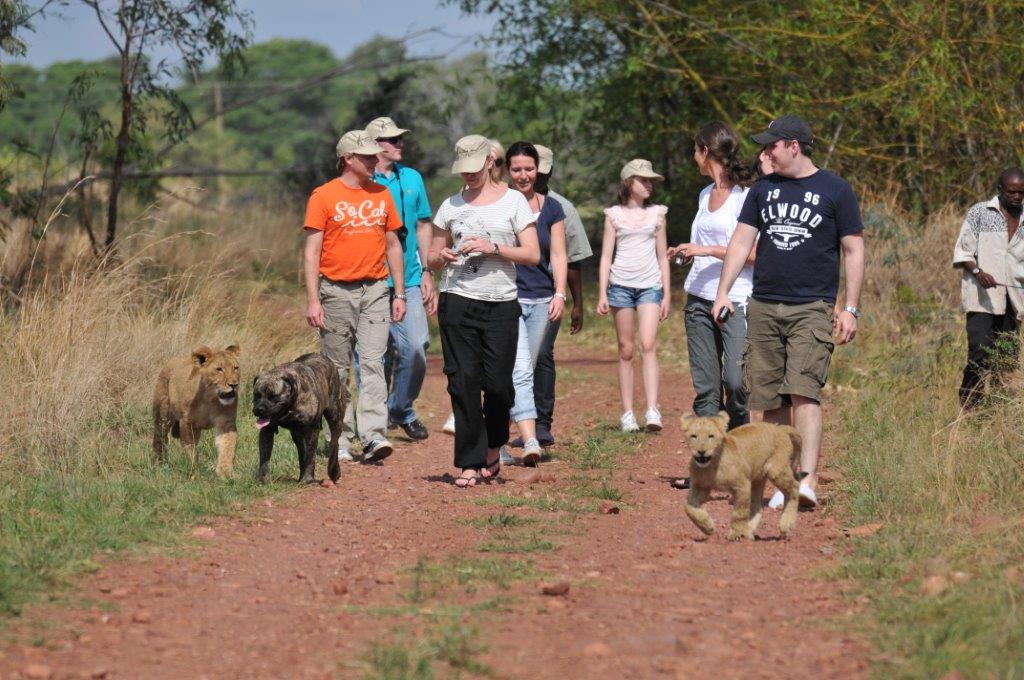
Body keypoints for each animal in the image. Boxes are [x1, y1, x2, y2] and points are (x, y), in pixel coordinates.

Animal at [250, 350, 344, 483]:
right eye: (257, 395)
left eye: (273, 396)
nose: (259, 409)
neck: (291, 406)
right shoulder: (267, 430)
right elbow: (264, 458)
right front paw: (263, 480)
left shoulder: (312, 430)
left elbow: (310, 455)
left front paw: (307, 478)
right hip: (297, 434)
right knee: (301, 451)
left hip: (334, 416)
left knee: (334, 443)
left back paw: (334, 470)